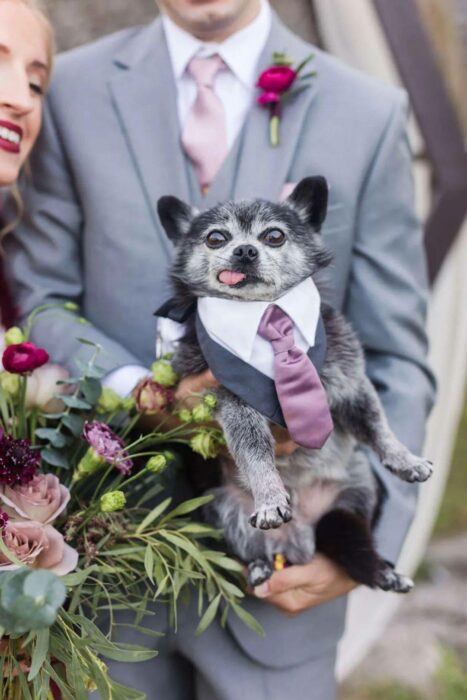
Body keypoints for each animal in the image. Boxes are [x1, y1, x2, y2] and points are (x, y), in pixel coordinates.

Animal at [156, 178, 432, 592]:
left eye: (274, 235)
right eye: (216, 238)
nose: (245, 251)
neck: (264, 312)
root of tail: (296, 543)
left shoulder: (350, 384)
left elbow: (378, 425)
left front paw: (405, 460)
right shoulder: (234, 404)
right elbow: (254, 451)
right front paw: (270, 496)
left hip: (347, 507)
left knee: (350, 541)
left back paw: (385, 572)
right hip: (221, 512)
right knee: (246, 551)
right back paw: (258, 567)